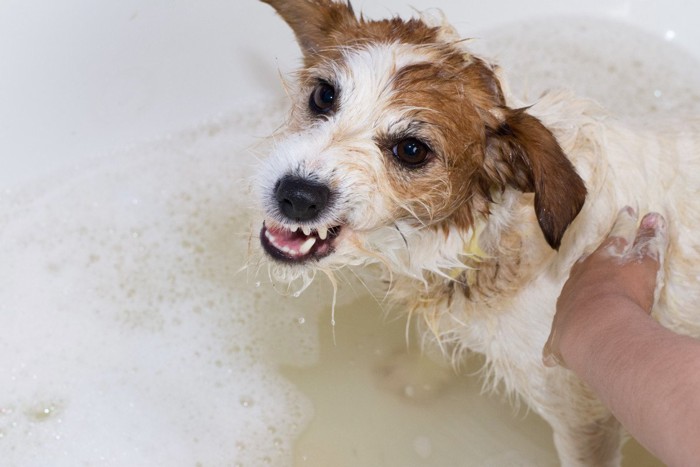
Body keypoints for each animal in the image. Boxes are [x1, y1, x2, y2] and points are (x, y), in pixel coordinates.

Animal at [254, 1, 700, 466]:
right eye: (324, 95)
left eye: (411, 150)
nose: (297, 195)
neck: (505, 240)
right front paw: (417, 377)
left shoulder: (586, 418)